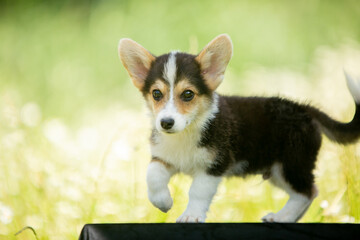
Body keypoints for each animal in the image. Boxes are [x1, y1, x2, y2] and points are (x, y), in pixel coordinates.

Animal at [118, 34, 360, 223]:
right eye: (156, 94)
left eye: (188, 94)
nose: (166, 123)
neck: (186, 133)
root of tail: (305, 109)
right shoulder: (163, 158)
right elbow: (152, 175)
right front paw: (163, 202)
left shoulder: (214, 166)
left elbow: (197, 191)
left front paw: (191, 215)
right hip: (277, 170)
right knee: (306, 193)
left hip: (292, 163)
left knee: (307, 192)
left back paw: (283, 217)